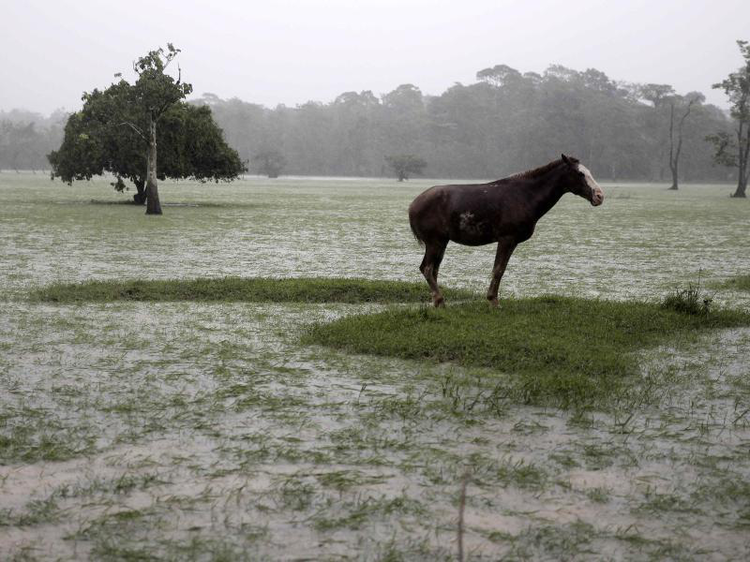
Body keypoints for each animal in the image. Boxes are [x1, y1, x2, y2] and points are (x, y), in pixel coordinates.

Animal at [408, 154, 608, 306]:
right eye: (580, 173)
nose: (599, 196)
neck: (525, 196)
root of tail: (413, 205)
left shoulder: (512, 242)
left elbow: (502, 269)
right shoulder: (506, 239)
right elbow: (497, 270)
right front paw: (493, 301)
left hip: (441, 243)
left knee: (433, 270)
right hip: (435, 242)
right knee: (427, 268)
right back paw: (440, 300)